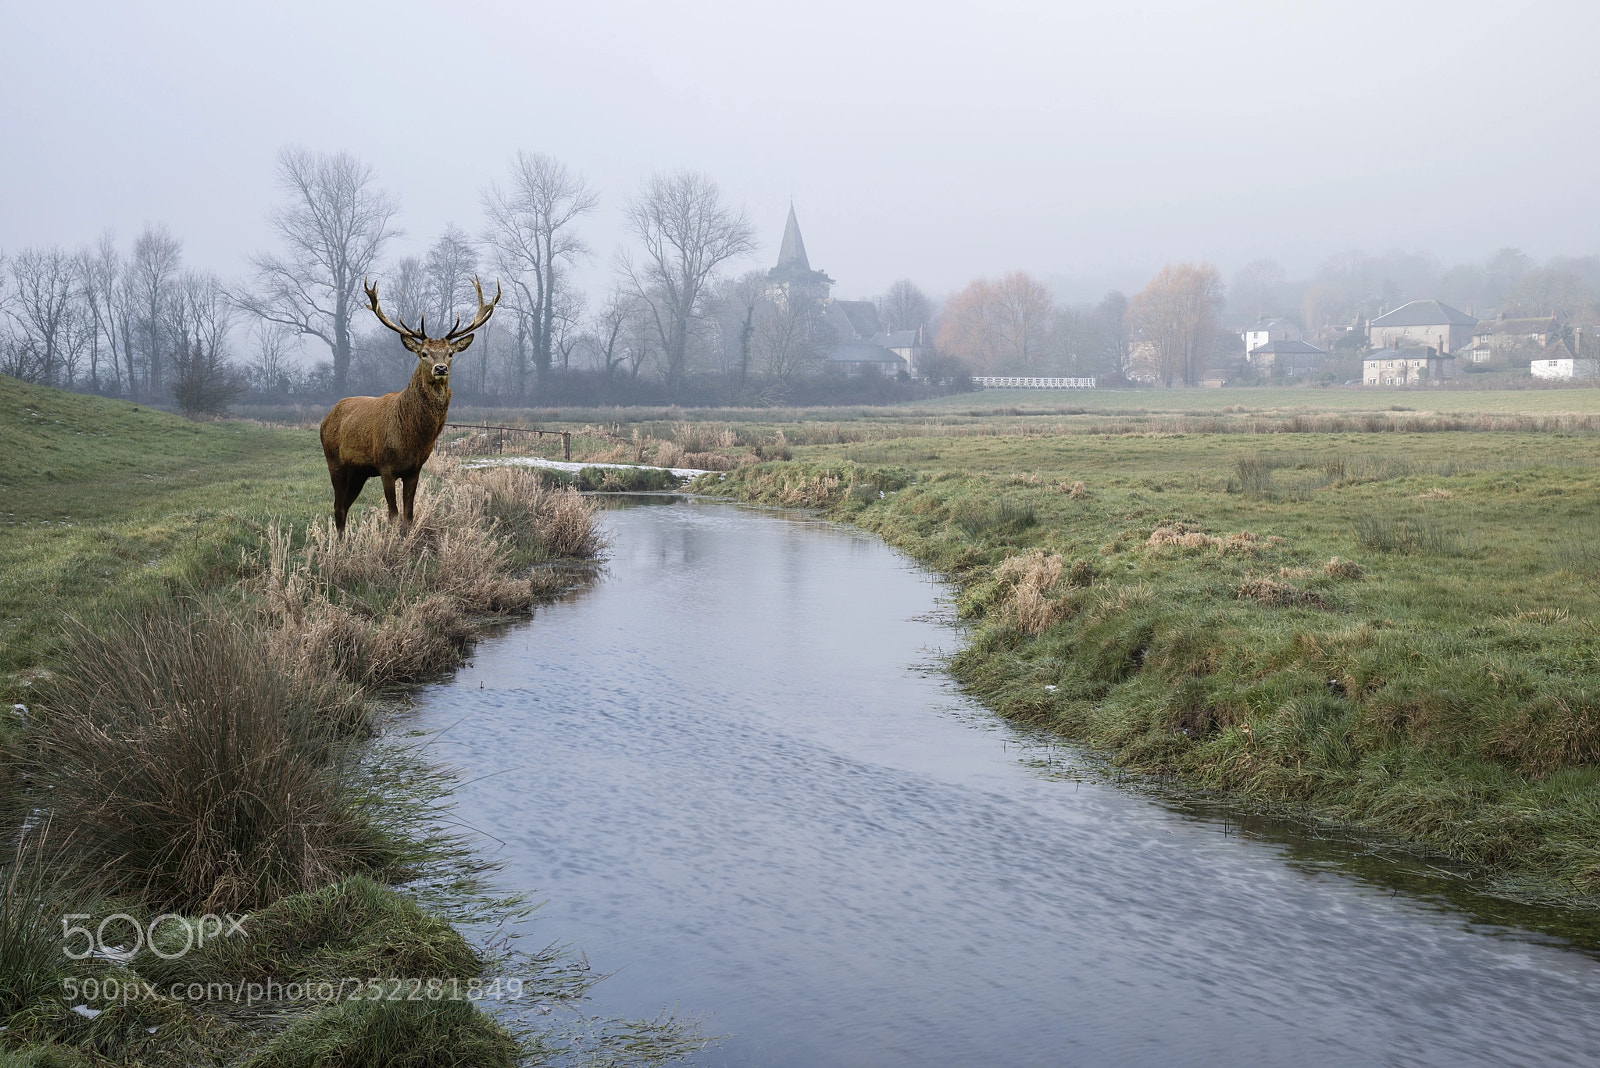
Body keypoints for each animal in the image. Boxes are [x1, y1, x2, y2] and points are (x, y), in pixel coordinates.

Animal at [319, 277, 500, 534]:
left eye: (450, 353)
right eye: (423, 353)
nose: (440, 368)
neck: (410, 438)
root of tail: (327, 418)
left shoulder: (415, 469)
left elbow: (409, 516)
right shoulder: (385, 466)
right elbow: (393, 516)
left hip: (358, 472)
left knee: (344, 506)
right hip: (334, 461)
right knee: (337, 507)